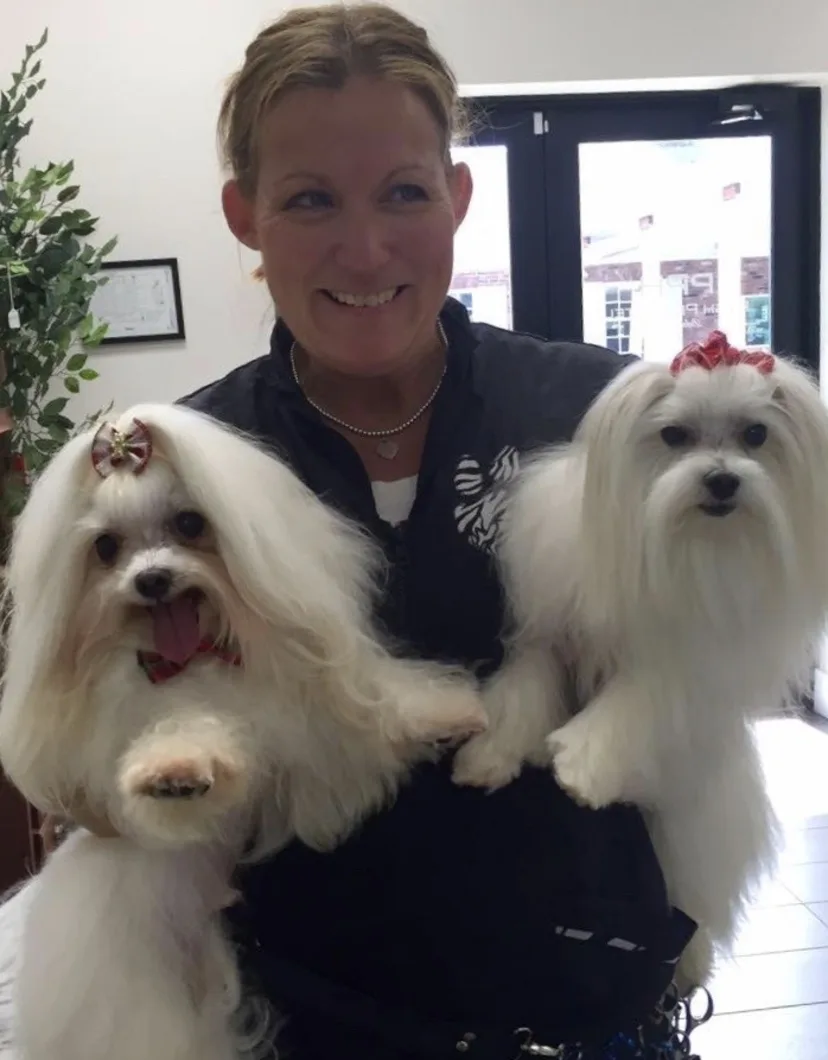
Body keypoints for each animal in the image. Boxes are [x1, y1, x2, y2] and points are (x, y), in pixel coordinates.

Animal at [0, 402, 485, 1060]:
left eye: (189, 522)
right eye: (105, 547)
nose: (151, 579)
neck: (196, 656)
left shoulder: (315, 706)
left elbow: (378, 708)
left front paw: (454, 714)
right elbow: (183, 737)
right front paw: (173, 773)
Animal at [455, 332, 826, 992]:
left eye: (756, 434)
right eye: (674, 434)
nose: (722, 481)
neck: (681, 544)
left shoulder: (682, 663)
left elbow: (631, 704)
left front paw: (579, 767)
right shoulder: (550, 634)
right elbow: (523, 689)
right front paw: (487, 756)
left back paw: (689, 966)